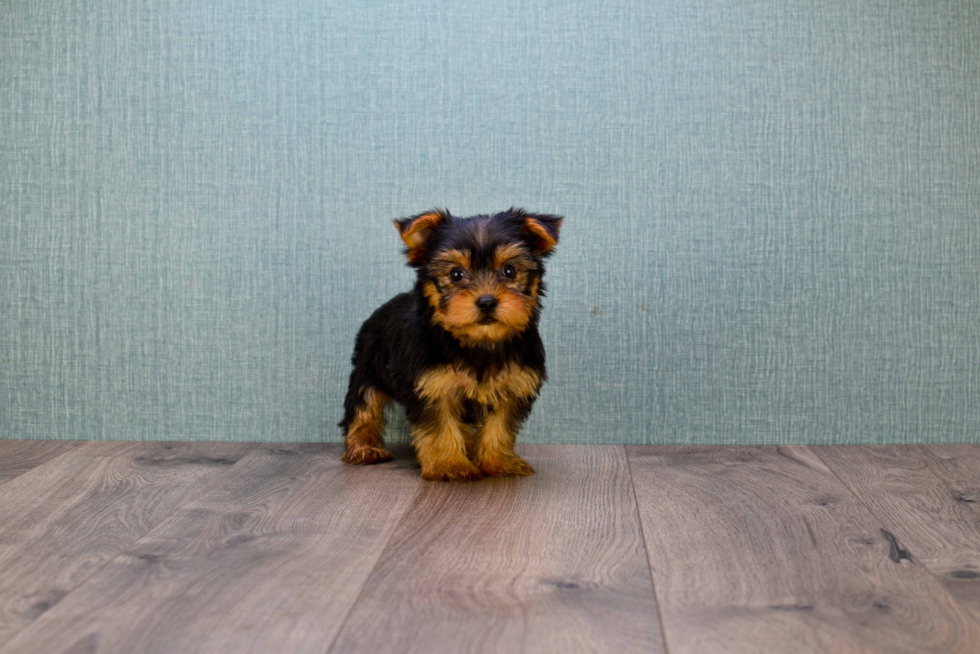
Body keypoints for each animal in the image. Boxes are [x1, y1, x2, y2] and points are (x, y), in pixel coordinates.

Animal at [340, 209, 564, 482]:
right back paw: (363, 447)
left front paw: (498, 461)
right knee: (364, 404)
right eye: (456, 274)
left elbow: (500, 425)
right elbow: (439, 426)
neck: (479, 342)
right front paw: (449, 465)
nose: (487, 301)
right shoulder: (432, 386)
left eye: (509, 271)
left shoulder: (515, 384)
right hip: (368, 365)